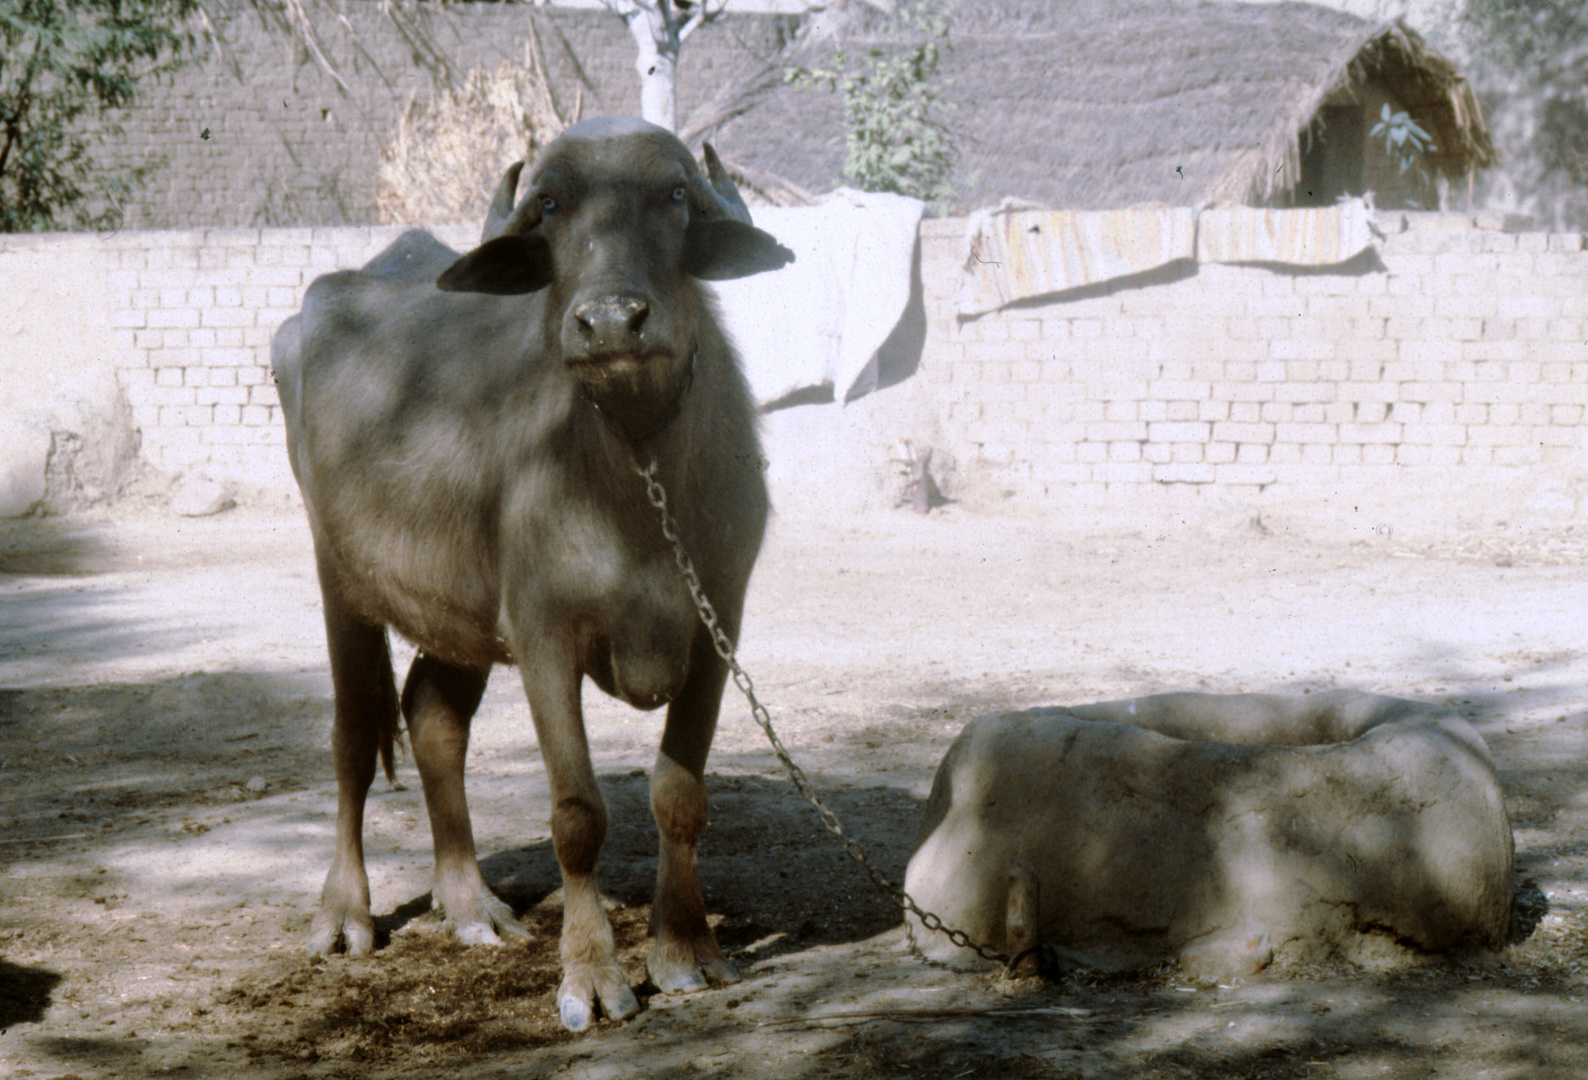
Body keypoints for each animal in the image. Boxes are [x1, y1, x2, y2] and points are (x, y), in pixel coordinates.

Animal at [276, 115, 794, 1029]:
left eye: (674, 194)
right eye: (550, 205)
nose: (611, 321)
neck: (634, 468)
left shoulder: (718, 621)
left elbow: (679, 793)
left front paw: (685, 950)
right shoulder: (546, 631)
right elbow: (578, 813)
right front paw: (592, 974)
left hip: (458, 613)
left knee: (433, 715)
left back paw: (470, 905)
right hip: (339, 579)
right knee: (351, 737)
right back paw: (343, 915)